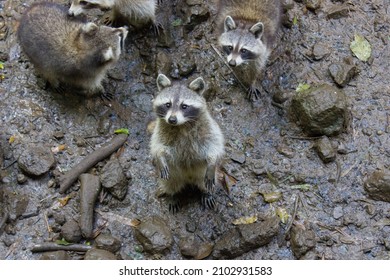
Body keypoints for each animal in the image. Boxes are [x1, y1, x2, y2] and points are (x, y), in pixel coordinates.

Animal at [152, 74, 227, 212]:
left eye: (184, 106)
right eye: (168, 104)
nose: (172, 119)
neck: (181, 125)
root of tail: (189, 178)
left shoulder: (208, 127)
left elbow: (215, 145)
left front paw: (213, 160)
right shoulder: (160, 129)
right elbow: (157, 145)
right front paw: (160, 157)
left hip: (202, 173)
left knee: (205, 182)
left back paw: (207, 192)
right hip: (173, 173)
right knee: (170, 182)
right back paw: (172, 195)